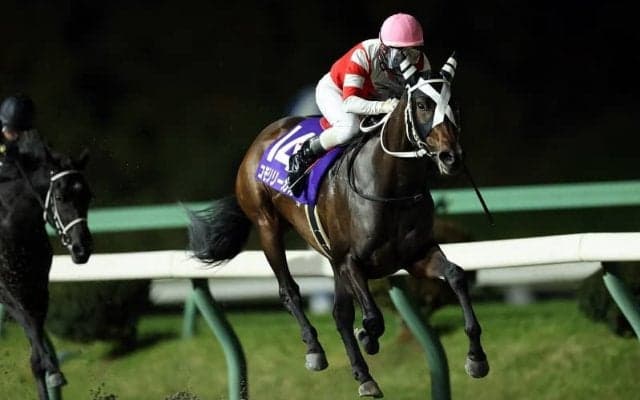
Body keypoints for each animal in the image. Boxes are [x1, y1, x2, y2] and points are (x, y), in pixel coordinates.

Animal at [0, 132, 93, 400]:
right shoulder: (7, 290)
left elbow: (35, 352)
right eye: (60, 197)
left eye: (88, 196)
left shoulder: (38, 286)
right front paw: (54, 372)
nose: (82, 249)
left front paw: (51, 373)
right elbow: (31, 329)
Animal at [188, 53, 489, 398]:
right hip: (268, 227)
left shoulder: (415, 256)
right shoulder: (351, 261)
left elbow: (455, 276)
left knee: (340, 314)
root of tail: (262, 138)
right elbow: (372, 317)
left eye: (455, 106)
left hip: (330, 258)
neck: (391, 188)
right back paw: (315, 350)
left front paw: (476, 358)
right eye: (423, 104)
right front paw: (368, 337)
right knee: (290, 291)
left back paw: (365, 377)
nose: (452, 157)